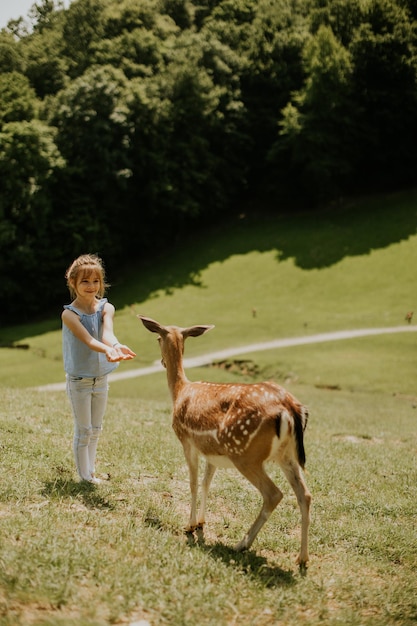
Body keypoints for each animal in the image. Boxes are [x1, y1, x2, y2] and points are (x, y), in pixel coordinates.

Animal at [138, 314, 310, 564]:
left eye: (157, 339)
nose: (161, 361)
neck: (179, 392)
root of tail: (289, 408)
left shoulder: (186, 441)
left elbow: (192, 483)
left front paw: (189, 526)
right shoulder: (212, 454)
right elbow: (206, 483)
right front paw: (200, 523)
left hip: (246, 453)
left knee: (273, 494)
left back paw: (242, 544)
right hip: (286, 454)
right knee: (305, 495)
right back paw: (302, 558)